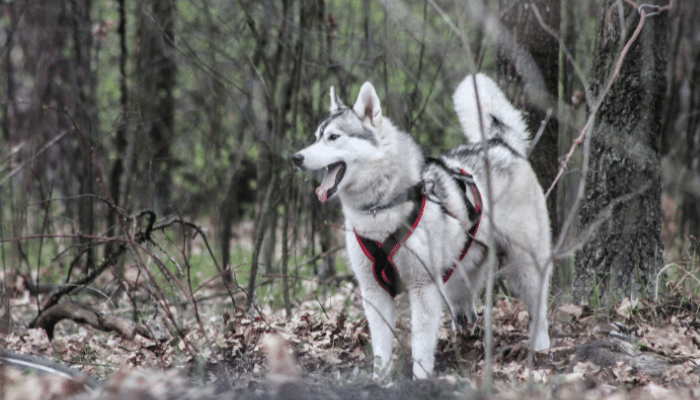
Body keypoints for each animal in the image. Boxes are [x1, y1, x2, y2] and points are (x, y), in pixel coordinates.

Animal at [292, 74, 552, 378]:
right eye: (316, 138)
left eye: (334, 137)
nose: (296, 158)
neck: (379, 208)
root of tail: (500, 143)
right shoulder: (374, 291)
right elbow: (381, 347)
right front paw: (379, 379)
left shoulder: (422, 286)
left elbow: (420, 344)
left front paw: (421, 378)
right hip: (457, 270)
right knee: (464, 302)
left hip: (524, 266)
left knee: (538, 308)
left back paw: (540, 348)